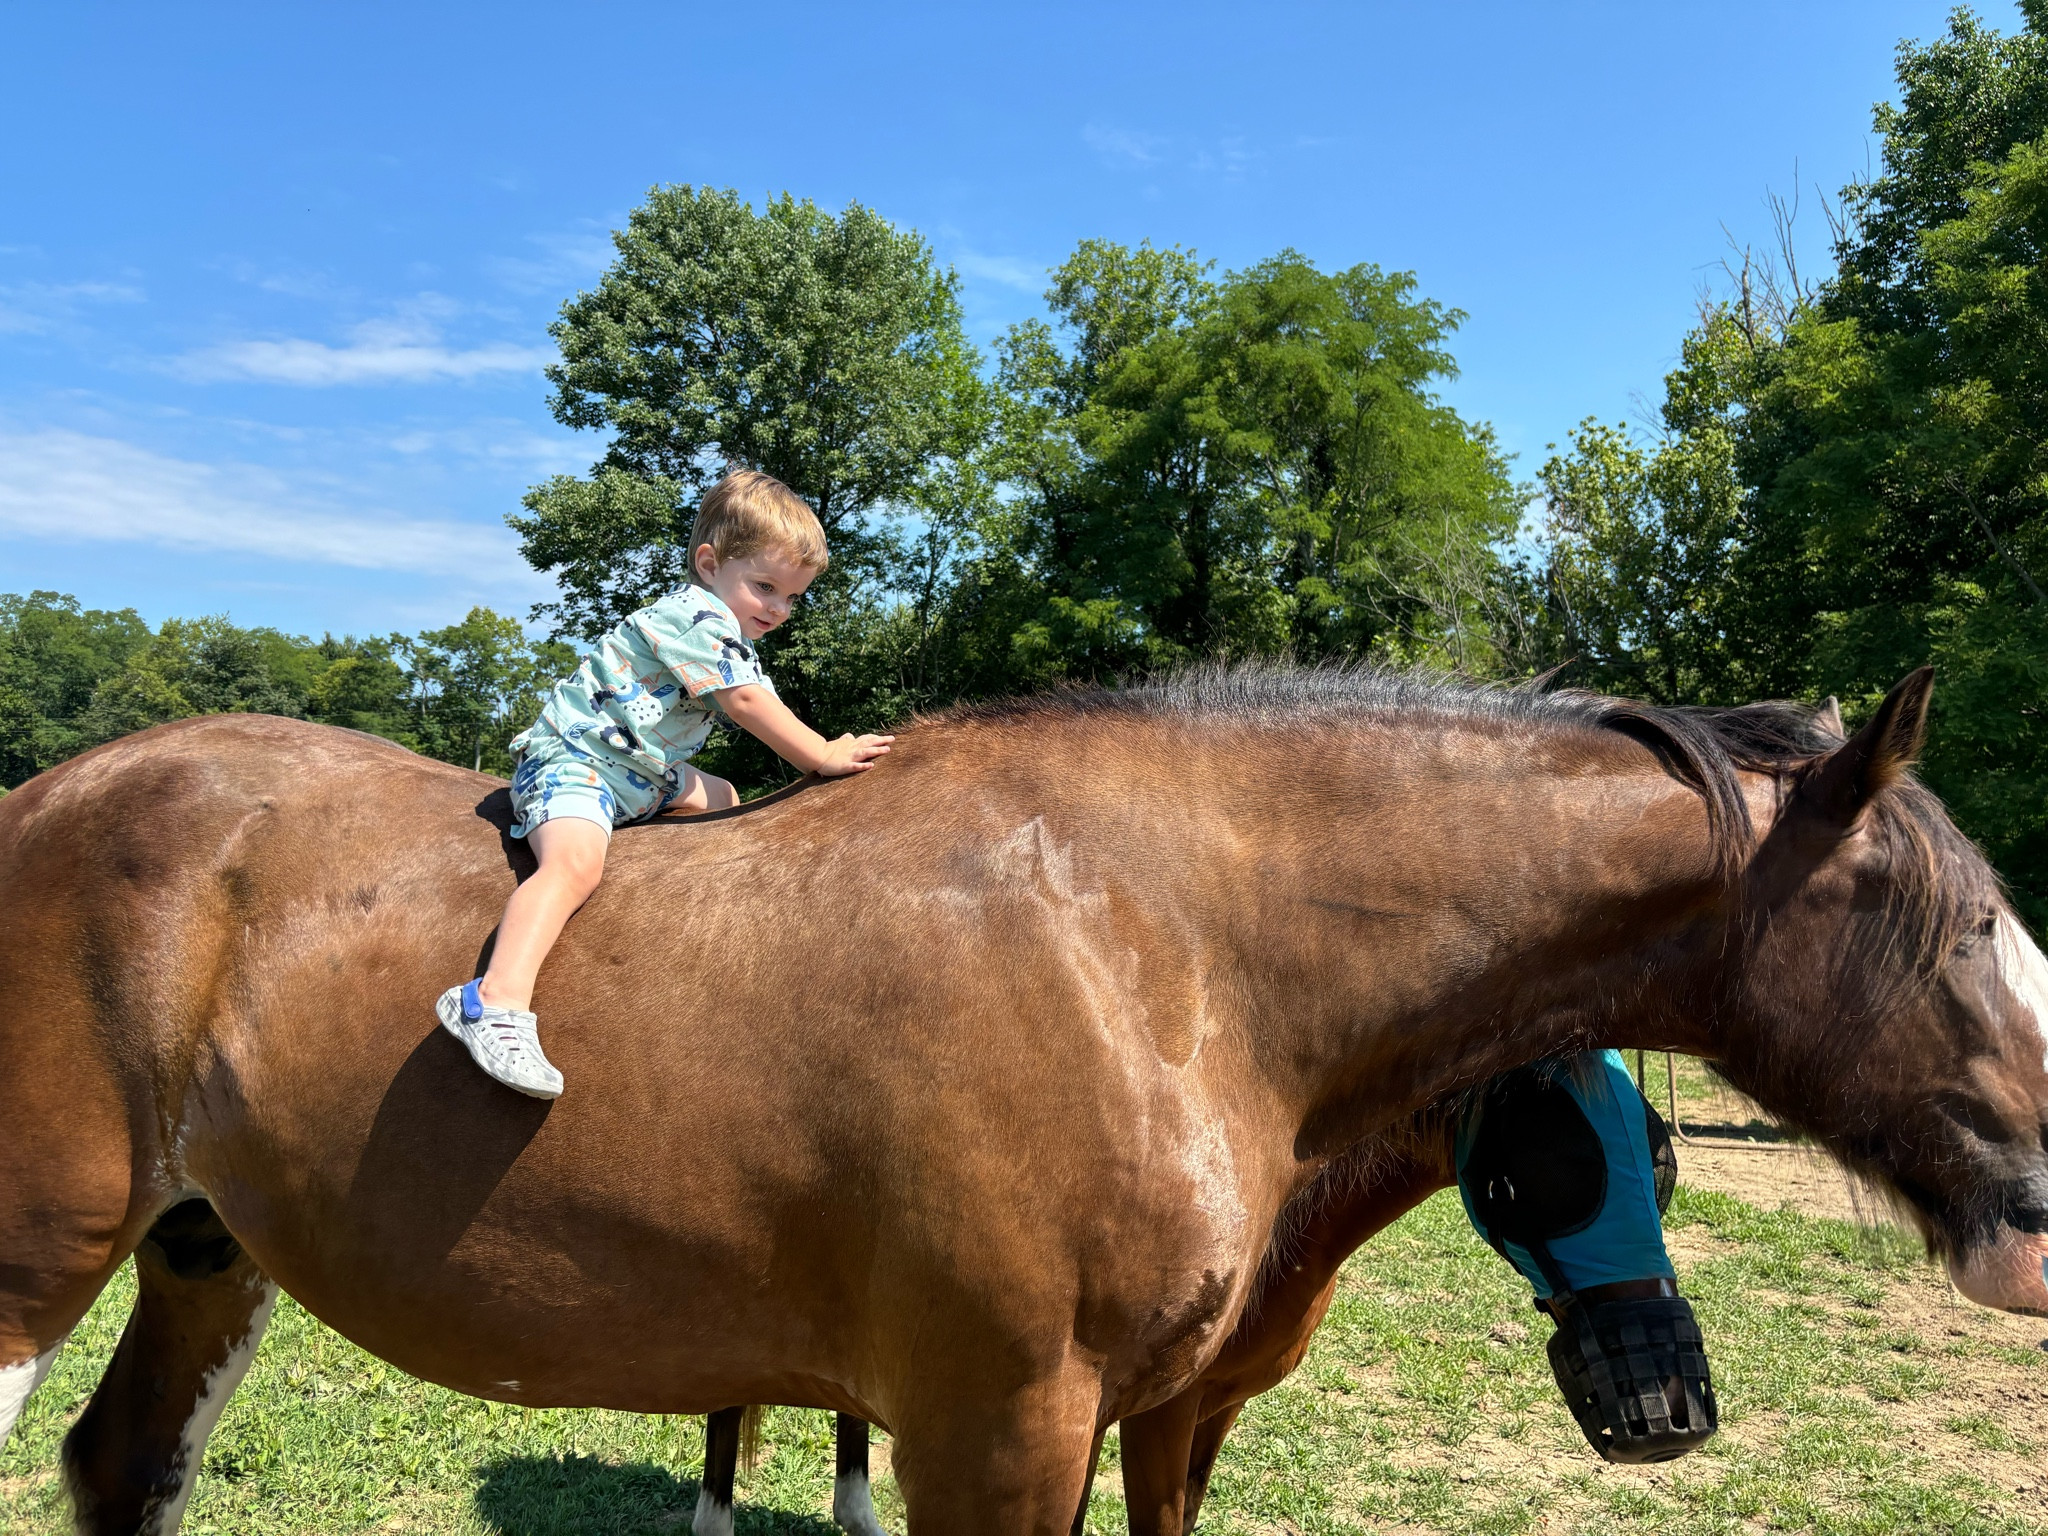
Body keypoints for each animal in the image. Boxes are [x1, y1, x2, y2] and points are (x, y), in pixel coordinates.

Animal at [4, 664, 2046, 1536]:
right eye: (1957, 934)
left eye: (1658, 1162)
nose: (2034, 1216)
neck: (1169, 942)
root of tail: (54, 792)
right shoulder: (995, 1428)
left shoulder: (1117, 1422)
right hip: (38, 1262)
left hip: (209, 1255)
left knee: (125, 1468)